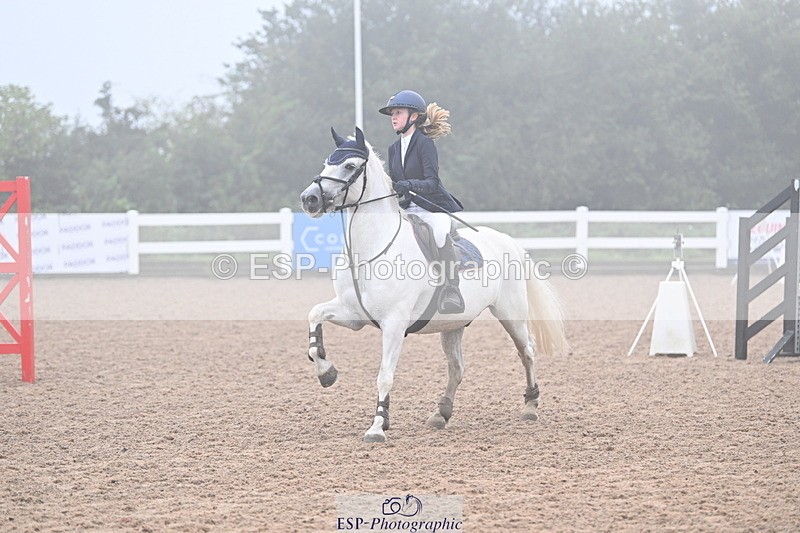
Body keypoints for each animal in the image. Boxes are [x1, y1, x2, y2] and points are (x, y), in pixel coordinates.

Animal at [300, 127, 567, 443]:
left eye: (350, 166)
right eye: (326, 162)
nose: (309, 199)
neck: (370, 249)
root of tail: (506, 239)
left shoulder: (394, 323)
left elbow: (385, 375)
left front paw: (377, 426)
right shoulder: (353, 314)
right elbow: (314, 317)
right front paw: (326, 373)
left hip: (511, 314)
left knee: (527, 352)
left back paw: (530, 406)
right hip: (453, 324)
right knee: (457, 368)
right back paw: (441, 413)